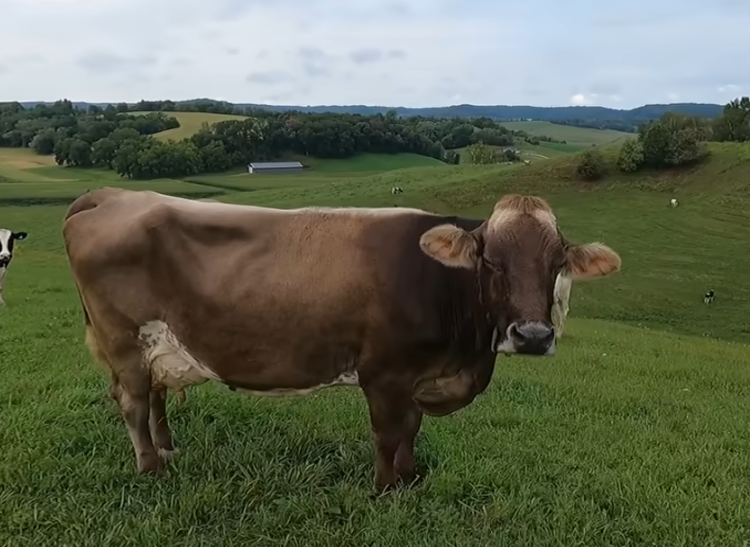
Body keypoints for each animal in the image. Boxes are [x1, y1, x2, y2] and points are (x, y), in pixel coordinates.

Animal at [62, 188, 621, 492]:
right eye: (490, 259)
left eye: (557, 262)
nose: (532, 335)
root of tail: (113, 195)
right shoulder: (385, 373)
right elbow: (388, 433)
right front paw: (385, 488)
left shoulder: (415, 375)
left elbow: (412, 429)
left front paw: (410, 477)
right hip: (125, 342)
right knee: (134, 403)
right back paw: (152, 469)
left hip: (156, 345)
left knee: (155, 397)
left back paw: (169, 451)